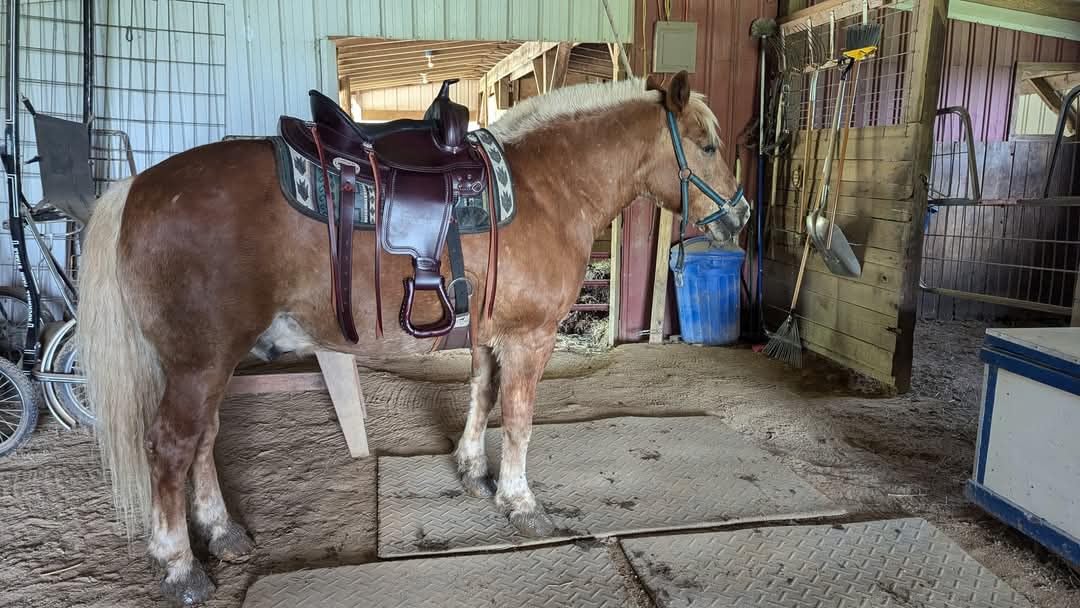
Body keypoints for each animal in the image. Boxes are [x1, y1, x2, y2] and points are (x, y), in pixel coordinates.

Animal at [78, 72, 746, 605]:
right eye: (708, 145)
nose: (738, 215)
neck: (549, 188)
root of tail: (135, 189)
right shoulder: (530, 339)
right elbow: (520, 419)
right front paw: (521, 503)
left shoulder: (486, 335)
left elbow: (482, 396)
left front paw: (473, 471)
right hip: (199, 363)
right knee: (171, 448)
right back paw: (181, 567)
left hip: (211, 364)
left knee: (204, 441)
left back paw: (224, 534)